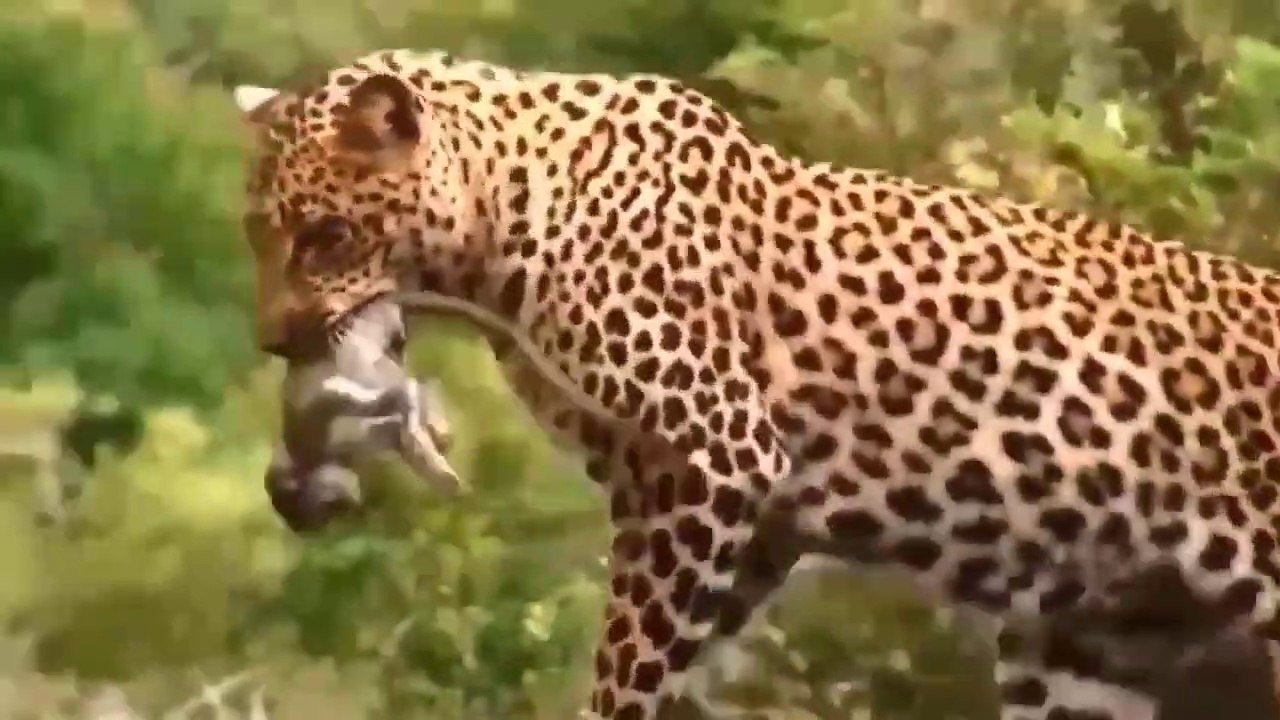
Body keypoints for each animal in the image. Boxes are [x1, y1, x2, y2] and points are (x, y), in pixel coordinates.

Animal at [233, 47, 1280, 720]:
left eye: (325, 235)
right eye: (256, 235)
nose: (275, 341)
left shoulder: (712, 453)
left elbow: (630, 656)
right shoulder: (729, 504)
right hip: (1091, 654)